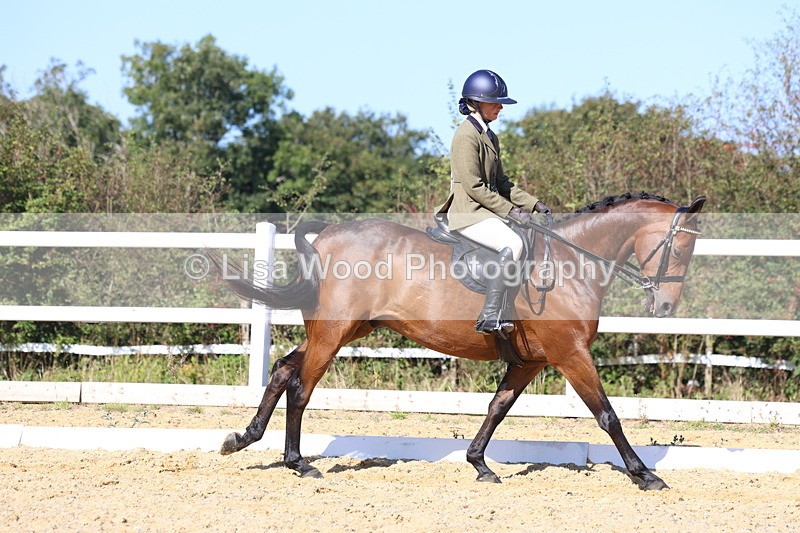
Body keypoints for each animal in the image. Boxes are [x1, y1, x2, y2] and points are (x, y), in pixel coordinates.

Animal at [216, 192, 706, 491]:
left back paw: (243, 439)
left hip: (346, 329)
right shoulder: (570, 354)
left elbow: (497, 408)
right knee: (301, 386)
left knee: (283, 369)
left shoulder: (530, 361)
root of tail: (327, 237)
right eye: (681, 250)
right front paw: (645, 475)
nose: (665, 307)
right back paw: (298, 461)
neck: (570, 265)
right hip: (334, 333)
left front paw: (479, 464)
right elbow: (608, 416)